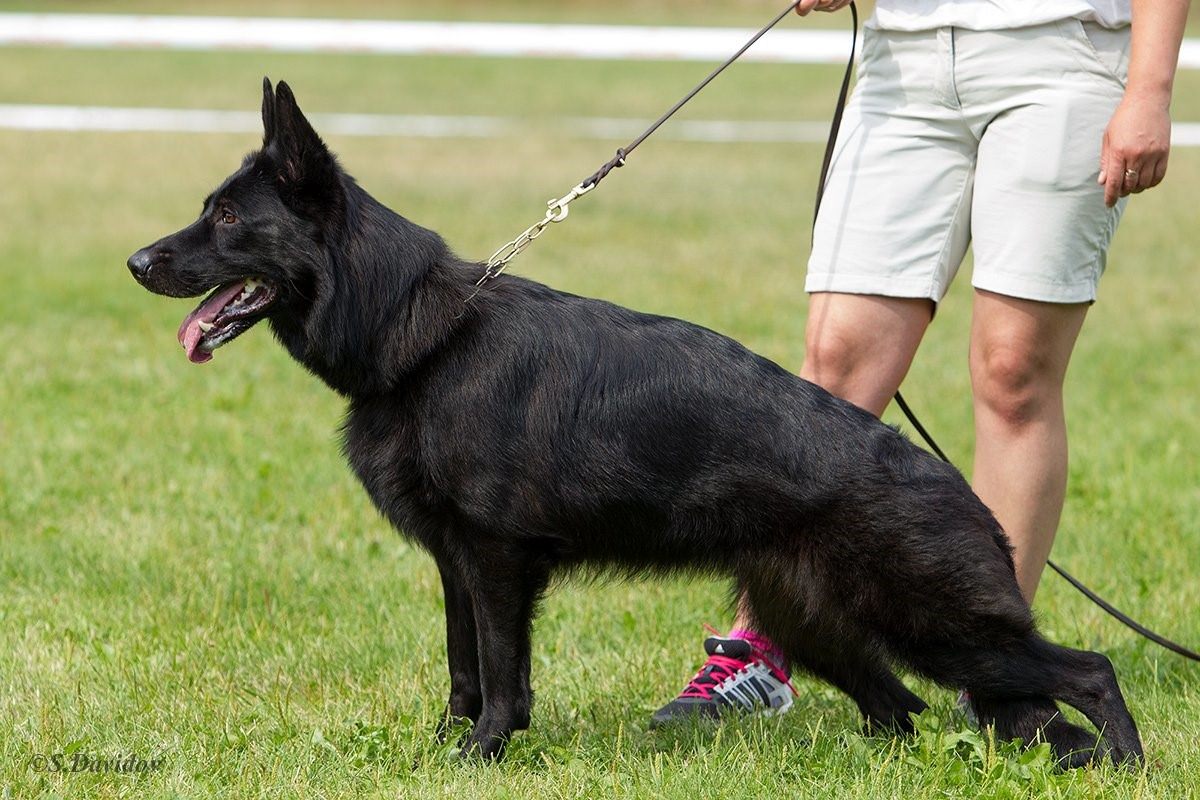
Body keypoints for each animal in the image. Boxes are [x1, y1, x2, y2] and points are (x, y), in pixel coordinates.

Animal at [129, 79, 1142, 762]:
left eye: (227, 218)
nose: (137, 262)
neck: (420, 335)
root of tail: (961, 492)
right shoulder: (456, 564)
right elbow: (462, 668)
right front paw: (443, 746)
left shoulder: (497, 563)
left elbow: (502, 675)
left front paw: (483, 754)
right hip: (824, 626)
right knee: (901, 709)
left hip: (940, 627)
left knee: (1087, 669)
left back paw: (1126, 764)